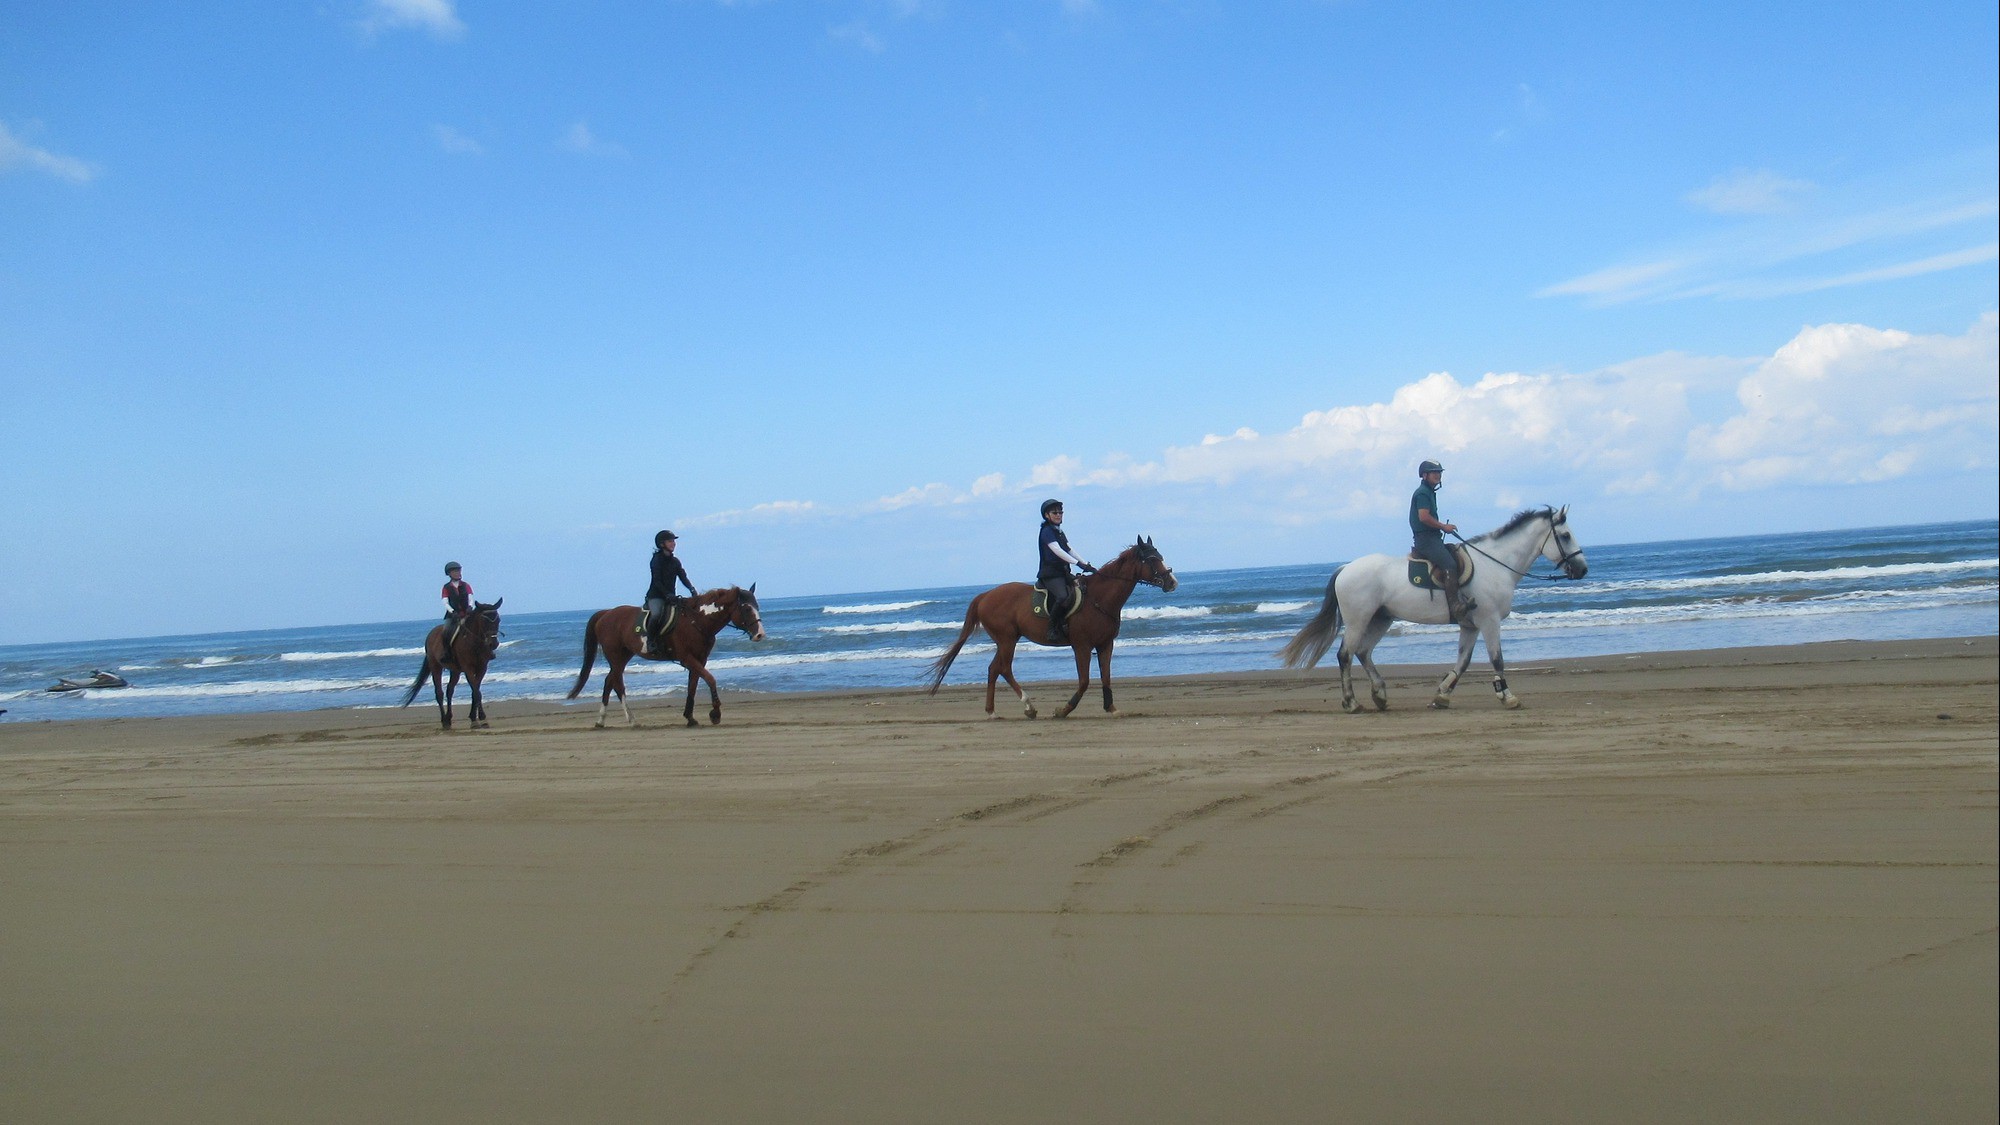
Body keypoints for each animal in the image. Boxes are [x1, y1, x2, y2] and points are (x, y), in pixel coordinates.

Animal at [398, 596, 504, 728]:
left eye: (498, 620)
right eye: (484, 621)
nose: (493, 644)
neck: (474, 643)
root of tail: (431, 634)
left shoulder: (482, 668)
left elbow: (475, 691)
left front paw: (475, 717)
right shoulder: (468, 668)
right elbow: (476, 692)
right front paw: (480, 718)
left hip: (455, 671)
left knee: (449, 690)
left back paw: (448, 717)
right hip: (435, 667)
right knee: (439, 693)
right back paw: (444, 720)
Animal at [580, 588, 772, 728]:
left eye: (757, 606)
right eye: (746, 608)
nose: (760, 634)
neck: (697, 621)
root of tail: (606, 613)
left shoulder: (699, 659)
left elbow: (692, 686)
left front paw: (690, 717)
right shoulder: (688, 658)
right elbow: (710, 679)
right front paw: (715, 714)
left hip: (624, 655)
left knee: (609, 681)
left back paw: (601, 720)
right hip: (616, 656)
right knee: (617, 684)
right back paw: (631, 720)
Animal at [928, 536, 1176, 716]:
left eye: (1160, 556)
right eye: (1151, 560)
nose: (1172, 582)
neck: (1099, 598)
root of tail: (985, 595)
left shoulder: (1105, 644)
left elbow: (1106, 677)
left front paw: (1111, 708)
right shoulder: (1082, 646)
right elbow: (1084, 681)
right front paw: (1064, 710)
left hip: (1007, 639)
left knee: (993, 669)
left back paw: (992, 711)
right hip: (1007, 639)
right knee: (1004, 668)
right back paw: (1028, 706)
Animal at [1280, 508, 1592, 708]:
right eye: (1565, 536)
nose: (1582, 569)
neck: (1495, 564)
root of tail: (1345, 568)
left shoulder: (1470, 625)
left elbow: (1463, 662)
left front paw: (1442, 695)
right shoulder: (1489, 621)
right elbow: (1497, 659)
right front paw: (1506, 696)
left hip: (1381, 619)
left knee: (1363, 652)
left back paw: (1380, 694)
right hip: (1359, 619)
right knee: (1345, 654)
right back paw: (1352, 701)